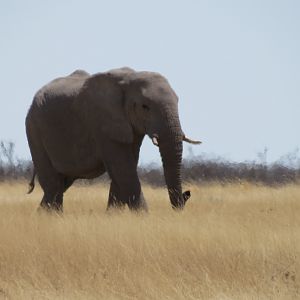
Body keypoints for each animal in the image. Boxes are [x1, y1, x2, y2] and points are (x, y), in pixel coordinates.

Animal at [25, 67, 199, 212]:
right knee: (53, 185)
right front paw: (143, 218)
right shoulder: (102, 122)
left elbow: (124, 169)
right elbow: (123, 168)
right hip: (34, 129)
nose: (187, 194)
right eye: (145, 107)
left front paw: (113, 216)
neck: (130, 78)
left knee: (61, 184)